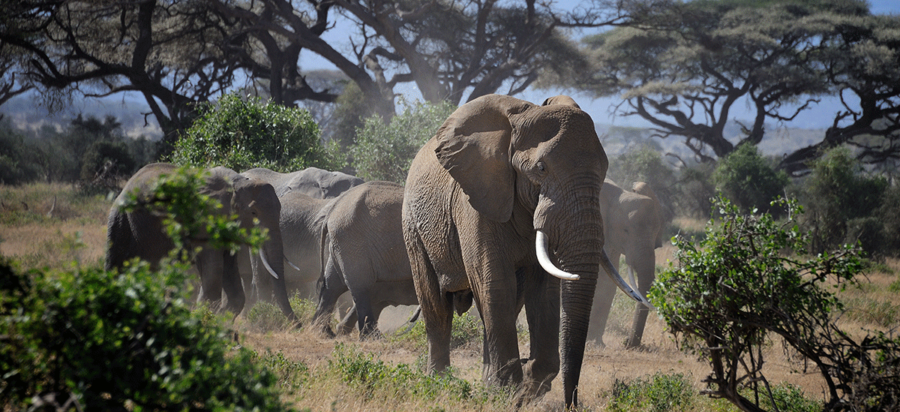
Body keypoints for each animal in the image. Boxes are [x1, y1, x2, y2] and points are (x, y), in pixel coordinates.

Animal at [105, 163, 296, 324]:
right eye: (254, 213)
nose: (299, 325)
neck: (237, 183)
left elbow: (230, 277)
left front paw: (219, 319)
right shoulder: (205, 220)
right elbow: (213, 273)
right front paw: (205, 319)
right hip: (121, 218)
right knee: (116, 265)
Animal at [310, 181, 422, 338]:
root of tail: (332, 210)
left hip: (340, 244)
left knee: (332, 286)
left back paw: (322, 332)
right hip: (352, 241)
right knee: (360, 287)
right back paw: (372, 337)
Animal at [400, 92, 648, 406]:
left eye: (604, 171)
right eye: (541, 168)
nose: (571, 404)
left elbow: (544, 291)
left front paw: (523, 389)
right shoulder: (477, 202)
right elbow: (496, 283)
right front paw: (511, 388)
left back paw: (487, 384)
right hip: (413, 226)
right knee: (437, 305)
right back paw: (439, 383)